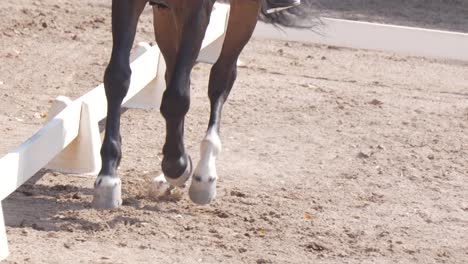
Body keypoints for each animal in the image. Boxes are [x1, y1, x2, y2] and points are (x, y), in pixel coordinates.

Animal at [91, 0, 314, 209]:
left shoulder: (197, 11)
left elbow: (177, 96)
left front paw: (177, 166)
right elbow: (117, 78)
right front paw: (108, 176)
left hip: (244, 11)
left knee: (221, 75)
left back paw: (204, 174)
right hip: (165, 15)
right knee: (175, 73)